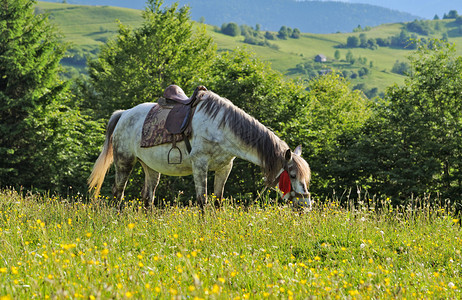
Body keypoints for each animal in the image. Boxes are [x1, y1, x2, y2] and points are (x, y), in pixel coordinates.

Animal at [87, 86, 310, 209]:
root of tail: (123, 114)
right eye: (291, 175)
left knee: (147, 197)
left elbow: (218, 200)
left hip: (150, 167)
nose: (307, 205)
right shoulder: (200, 165)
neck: (221, 127)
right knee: (118, 192)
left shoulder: (224, 167)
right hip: (124, 161)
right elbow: (202, 200)